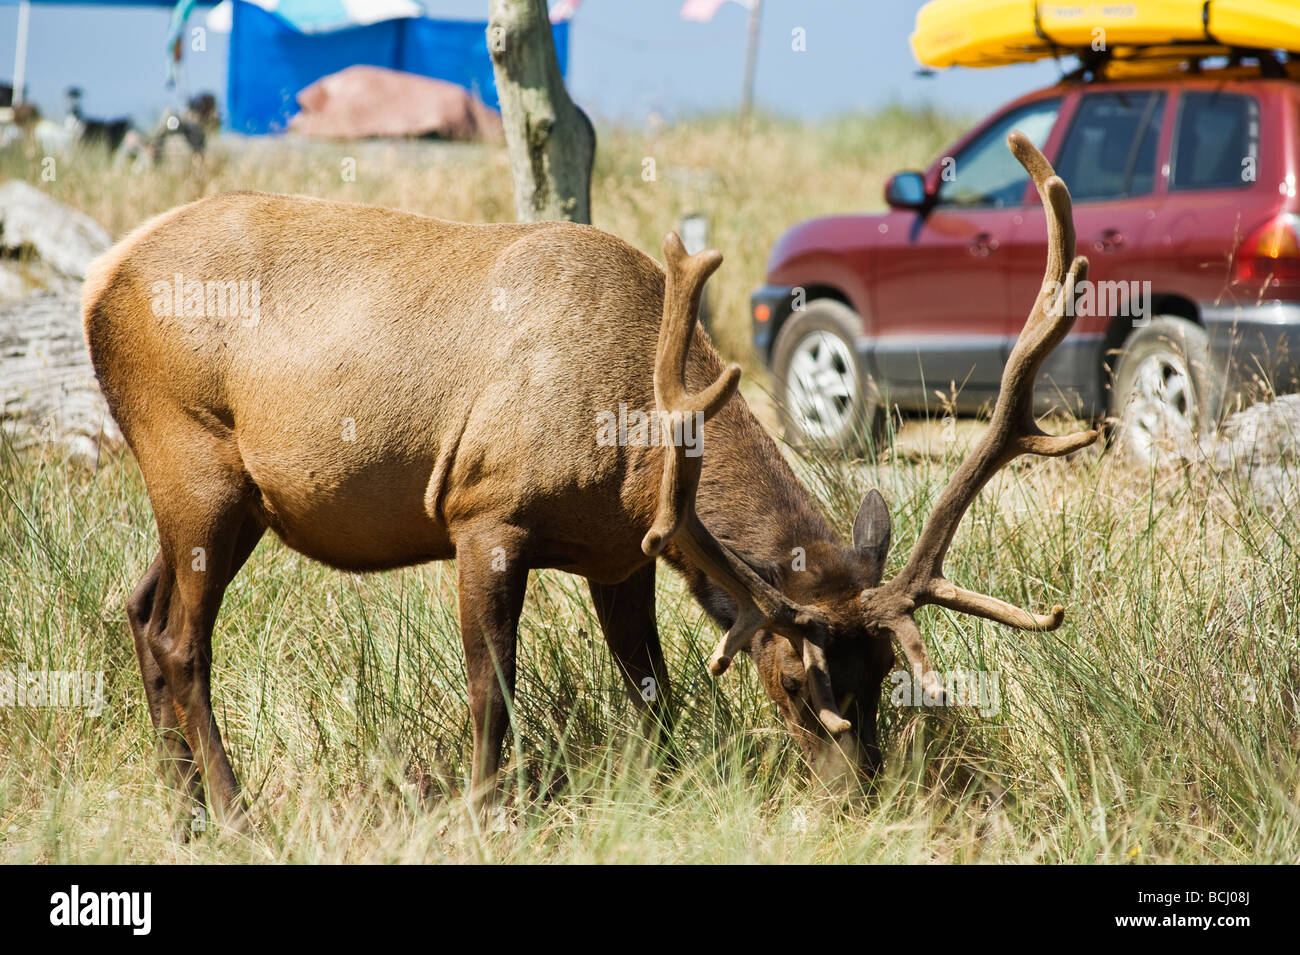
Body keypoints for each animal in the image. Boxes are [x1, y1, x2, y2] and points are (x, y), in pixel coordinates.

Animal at [82, 132, 1095, 834]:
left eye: (885, 671)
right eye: (794, 678)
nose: (861, 797)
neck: (631, 446)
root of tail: (100, 277)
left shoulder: (624, 556)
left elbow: (653, 689)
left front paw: (666, 786)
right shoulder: (484, 510)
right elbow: (493, 687)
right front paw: (487, 813)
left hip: (223, 494)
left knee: (137, 603)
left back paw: (183, 810)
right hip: (192, 455)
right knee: (180, 637)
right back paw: (234, 812)